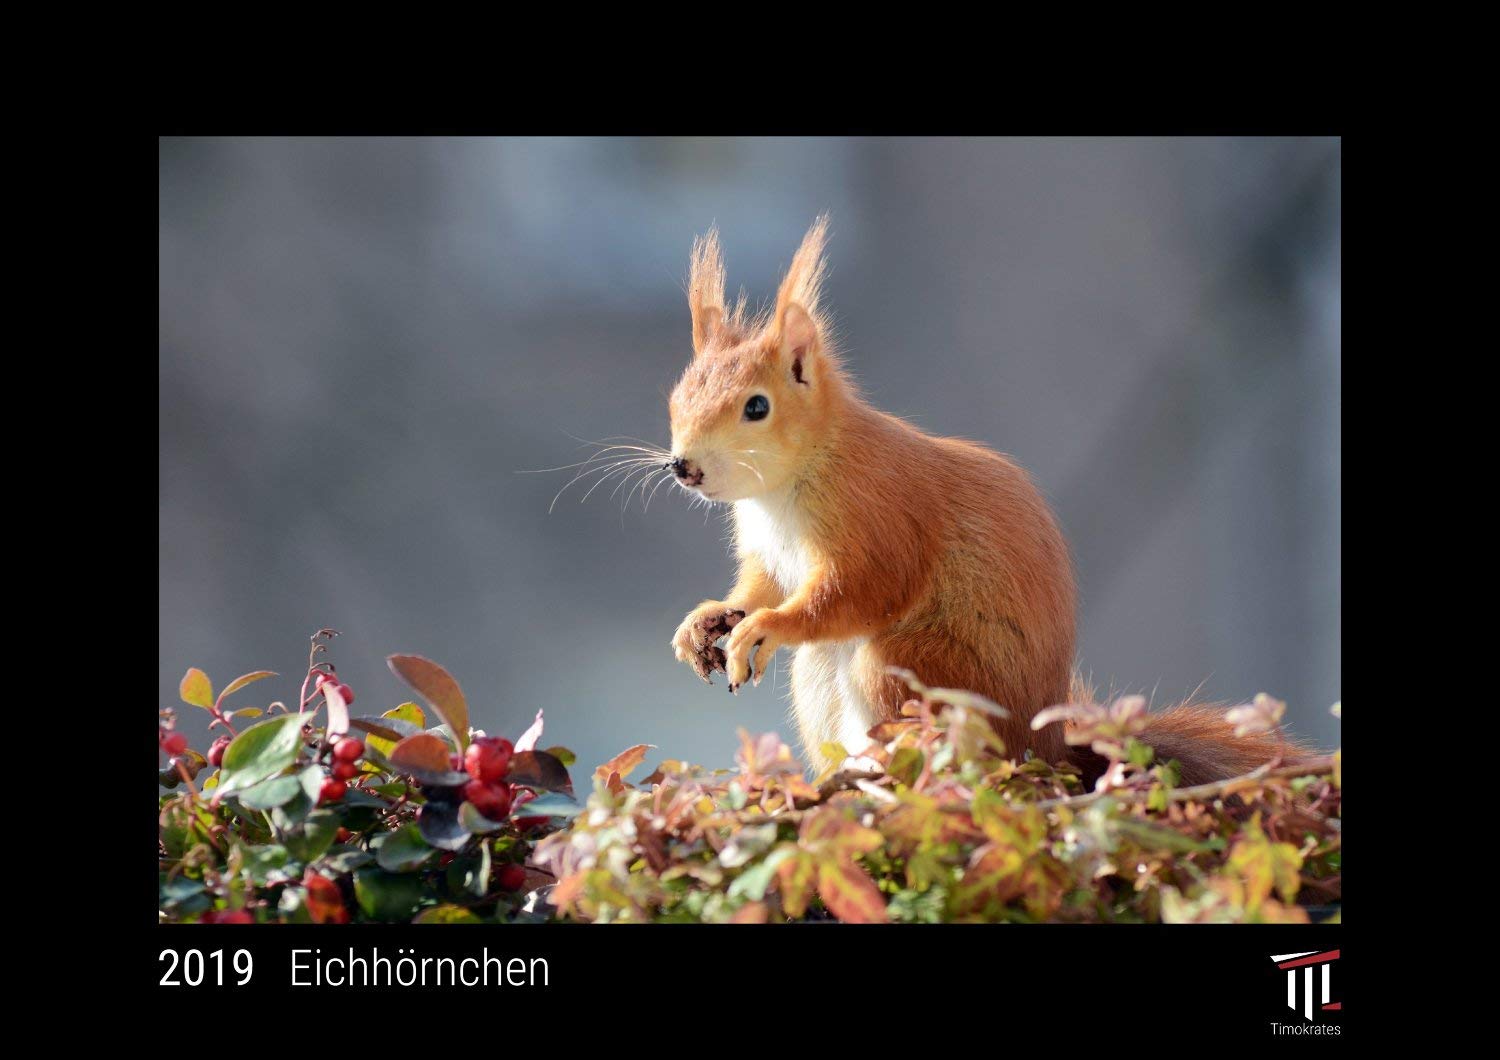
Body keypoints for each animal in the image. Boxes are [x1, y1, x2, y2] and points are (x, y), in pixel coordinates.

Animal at [666, 217, 1312, 785]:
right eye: (677, 394)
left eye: (757, 407)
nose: (684, 467)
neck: (784, 486)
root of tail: (1046, 750)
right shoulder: (768, 550)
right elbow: (761, 585)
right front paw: (710, 619)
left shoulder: (876, 513)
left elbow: (862, 590)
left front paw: (766, 626)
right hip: (823, 677)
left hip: (921, 674)